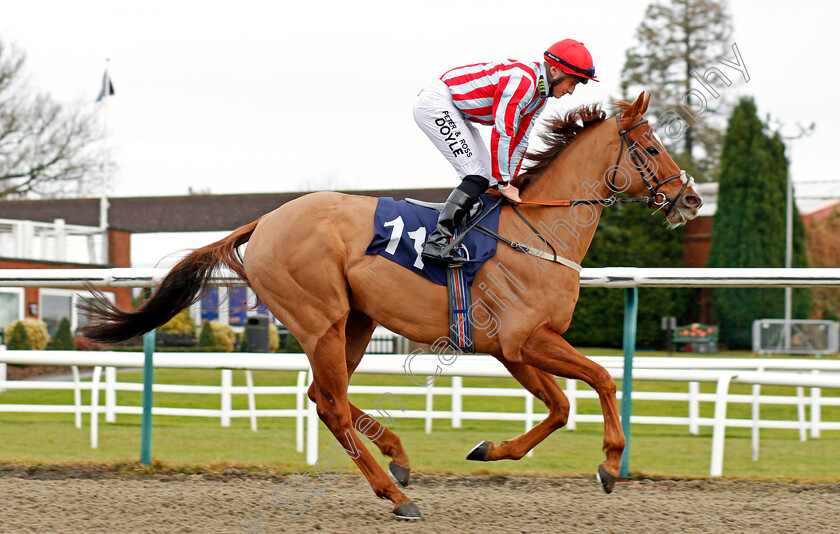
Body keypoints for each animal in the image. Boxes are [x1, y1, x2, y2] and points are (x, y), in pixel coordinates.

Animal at [83, 93, 704, 524]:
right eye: (652, 148)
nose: (692, 199)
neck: (539, 231)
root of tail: (263, 222)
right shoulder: (524, 340)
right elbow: (601, 377)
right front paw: (609, 463)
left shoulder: (514, 348)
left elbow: (559, 407)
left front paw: (490, 448)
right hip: (322, 320)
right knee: (331, 404)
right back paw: (395, 492)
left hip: (356, 323)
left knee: (322, 396)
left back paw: (398, 456)